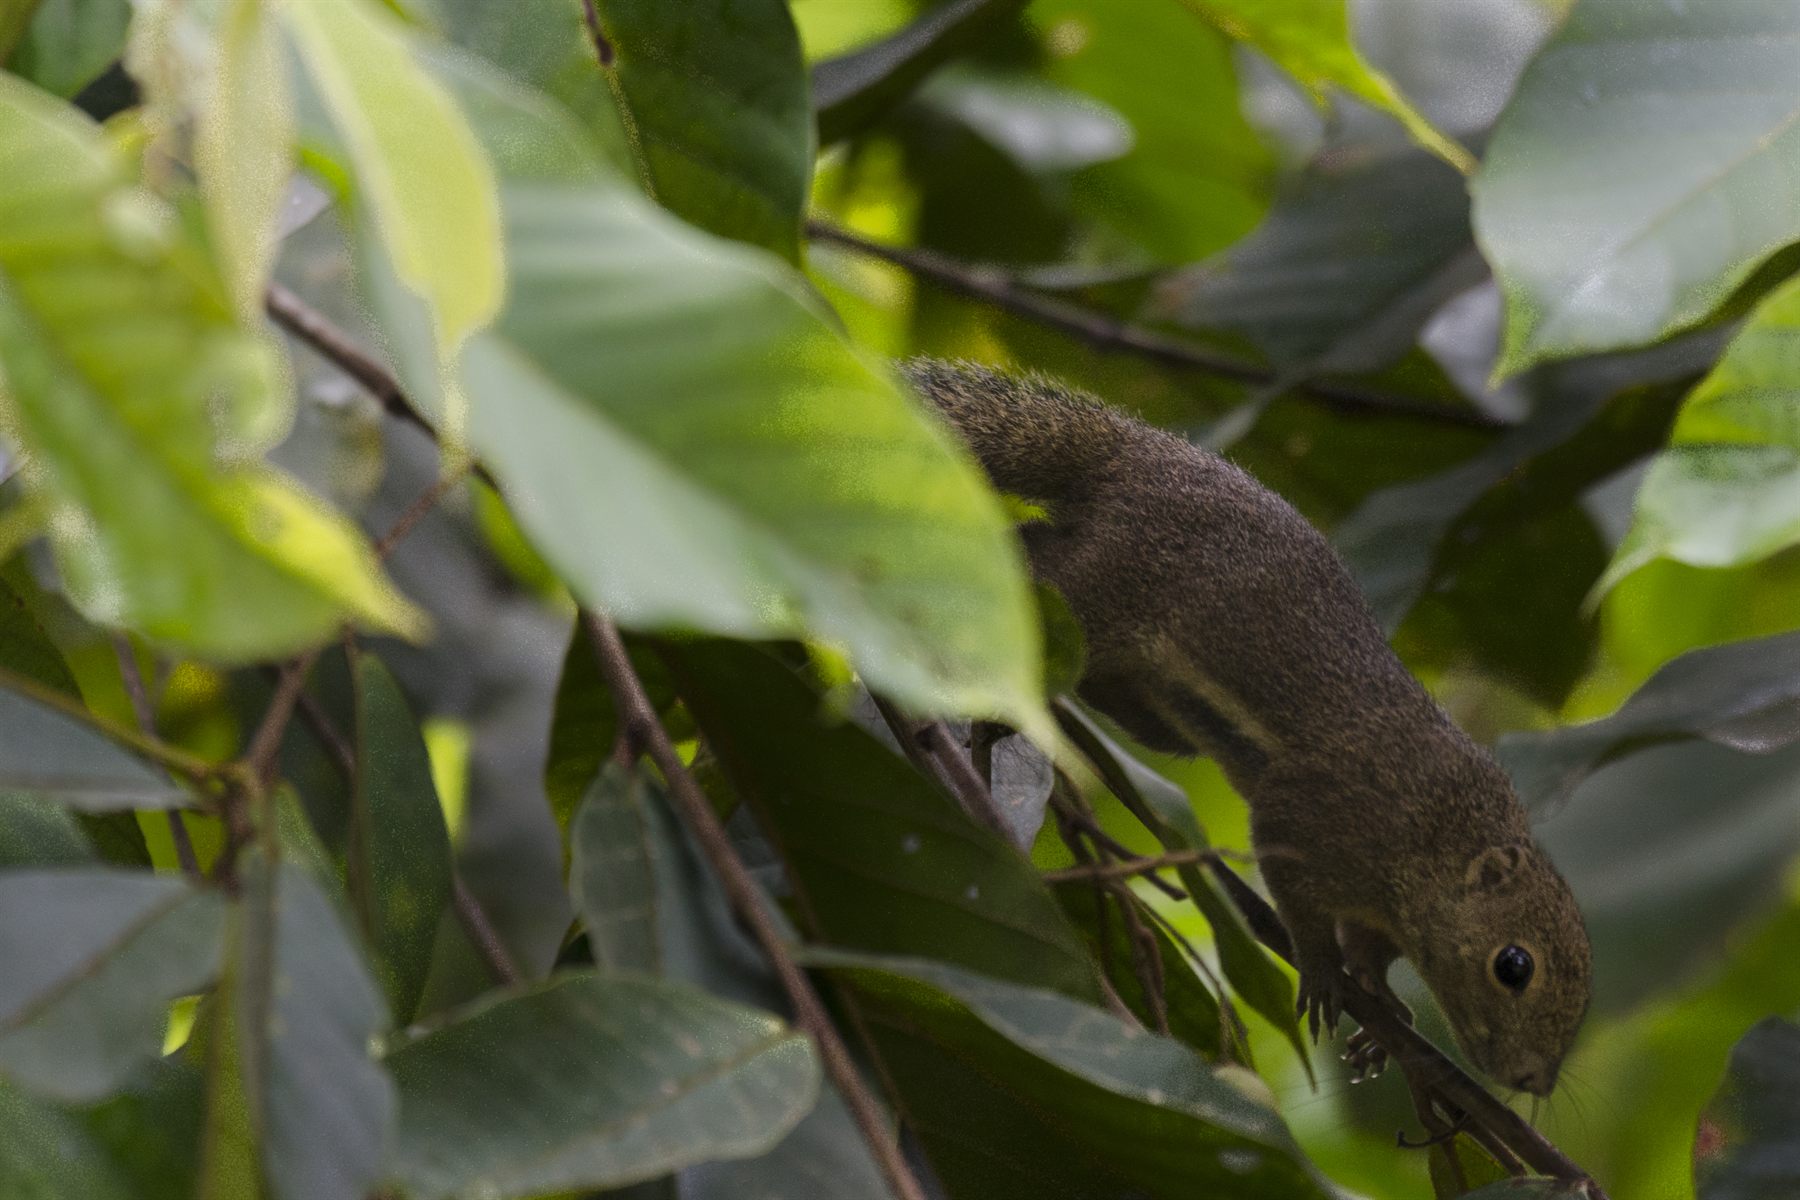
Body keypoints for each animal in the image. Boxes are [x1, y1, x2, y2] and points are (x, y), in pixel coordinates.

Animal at [902, 358, 1592, 1097]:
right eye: (1513, 965)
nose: (1534, 1082)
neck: (1438, 837)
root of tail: (1131, 450)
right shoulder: (1314, 816)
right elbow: (1299, 898)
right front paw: (1323, 973)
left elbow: (1371, 955)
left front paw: (1384, 1014)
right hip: (1106, 588)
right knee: (1036, 555)